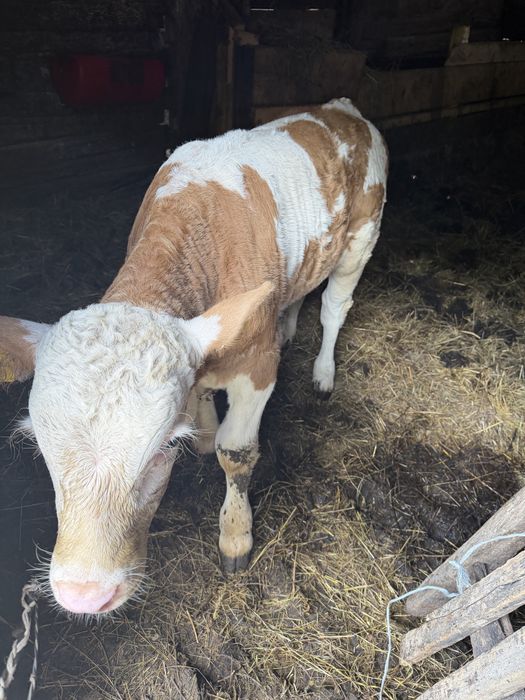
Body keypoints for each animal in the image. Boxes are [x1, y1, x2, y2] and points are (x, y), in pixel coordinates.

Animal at [0, 98, 387, 615]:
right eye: (42, 450)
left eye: (161, 452)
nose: (84, 594)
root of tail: (340, 109)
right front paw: (202, 429)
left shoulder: (256, 366)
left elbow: (235, 452)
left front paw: (235, 537)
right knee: (299, 293)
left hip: (362, 235)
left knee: (333, 306)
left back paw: (323, 372)